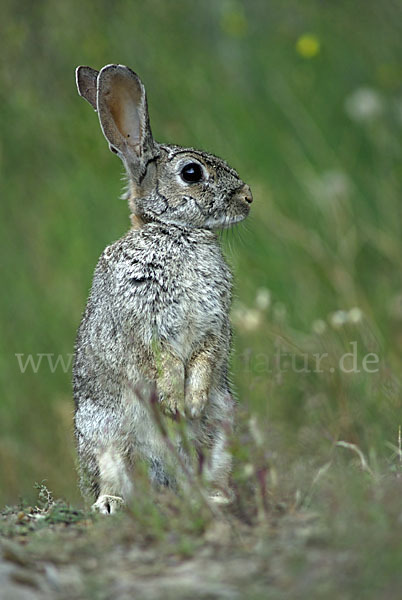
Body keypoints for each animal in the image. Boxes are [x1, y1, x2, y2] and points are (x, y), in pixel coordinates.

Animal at [72, 67, 251, 516]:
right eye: (192, 173)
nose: (248, 198)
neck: (175, 232)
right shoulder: (145, 324)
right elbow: (165, 363)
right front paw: (173, 403)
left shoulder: (213, 326)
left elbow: (204, 359)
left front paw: (191, 404)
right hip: (104, 434)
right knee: (115, 475)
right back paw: (112, 503)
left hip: (223, 428)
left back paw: (213, 496)